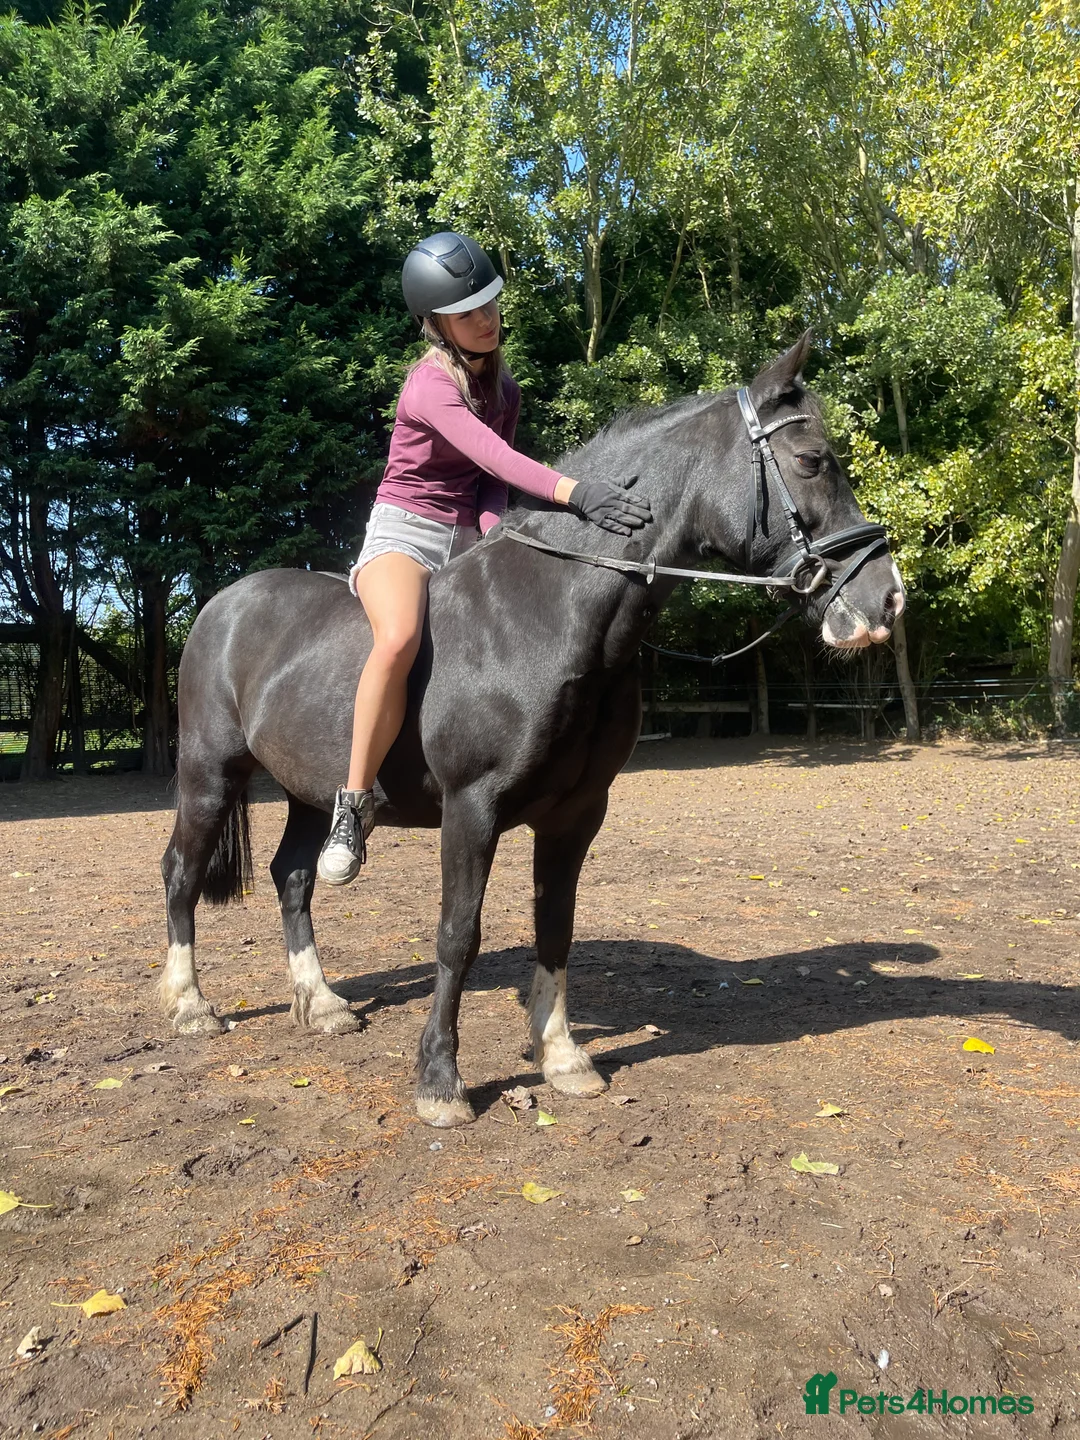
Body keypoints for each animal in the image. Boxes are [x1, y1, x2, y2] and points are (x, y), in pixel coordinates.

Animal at [160, 332, 905, 1127]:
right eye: (811, 461)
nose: (887, 598)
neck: (551, 613)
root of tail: (222, 604)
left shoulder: (575, 815)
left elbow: (556, 926)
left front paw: (563, 1058)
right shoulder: (471, 809)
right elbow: (458, 935)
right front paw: (440, 1081)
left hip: (307, 790)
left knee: (293, 877)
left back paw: (323, 1003)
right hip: (209, 776)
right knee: (181, 873)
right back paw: (191, 1005)